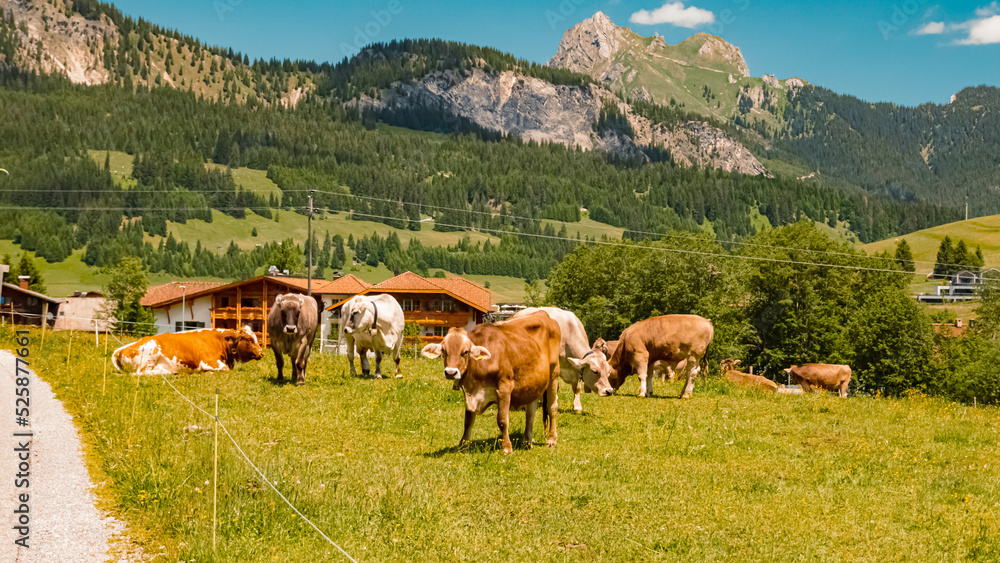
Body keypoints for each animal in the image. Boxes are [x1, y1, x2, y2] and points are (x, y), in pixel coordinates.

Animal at [112, 326, 262, 376]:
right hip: (150, 351)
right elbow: (224, 369)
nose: (262, 353)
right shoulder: (209, 362)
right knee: (139, 373)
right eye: (249, 339)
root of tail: (121, 349)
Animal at [420, 311, 561, 454]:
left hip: (554, 372)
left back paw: (551, 439)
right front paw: (463, 445)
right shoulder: (469, 393)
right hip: (533, 384)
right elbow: (468, 421)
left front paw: (507, 447)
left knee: (552, 407)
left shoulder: (504, 388)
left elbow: (502, 420)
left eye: (465, 352)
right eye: (444, 351)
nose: (450, 372)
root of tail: (543, 313)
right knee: (530, 412)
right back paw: (527, 441)